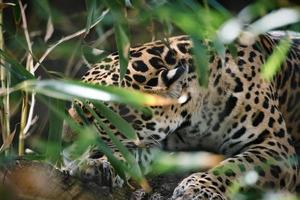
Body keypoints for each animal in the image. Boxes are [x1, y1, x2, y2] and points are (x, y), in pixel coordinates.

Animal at [63, 30, 300, 198]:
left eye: (100, 116)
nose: (64, 145)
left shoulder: (276, 146)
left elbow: (236, 167)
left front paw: (197, 189)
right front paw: (98, 164)